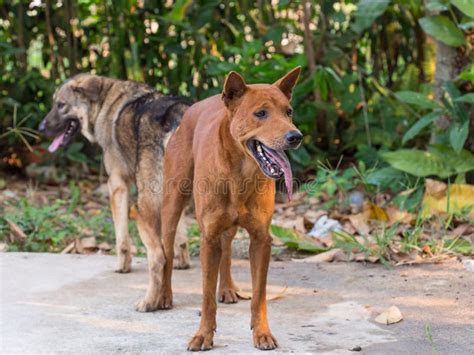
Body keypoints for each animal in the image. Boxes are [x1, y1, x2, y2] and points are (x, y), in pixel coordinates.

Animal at [39, 75, 191, 312]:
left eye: (60, 105)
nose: (40, 127)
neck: (106, 99)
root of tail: (177, 116)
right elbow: (180, 239)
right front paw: (182, 262)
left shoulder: (117, 185)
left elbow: (122, 239)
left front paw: (122, 266)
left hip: (143, 208)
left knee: (157, 257)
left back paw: (149, 302)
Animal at [156, 67, 304, 350]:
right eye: (261, 113)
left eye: (289, 112)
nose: (296, 137)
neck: (239, 174)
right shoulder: (208, 237)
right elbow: (206, 295)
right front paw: (203, 334)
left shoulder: (261, 239)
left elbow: (259, 294)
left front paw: (262, 332)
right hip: (172, 205)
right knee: (167, 252)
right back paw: (163, 295)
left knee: (226, 250)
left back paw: (226, 288)